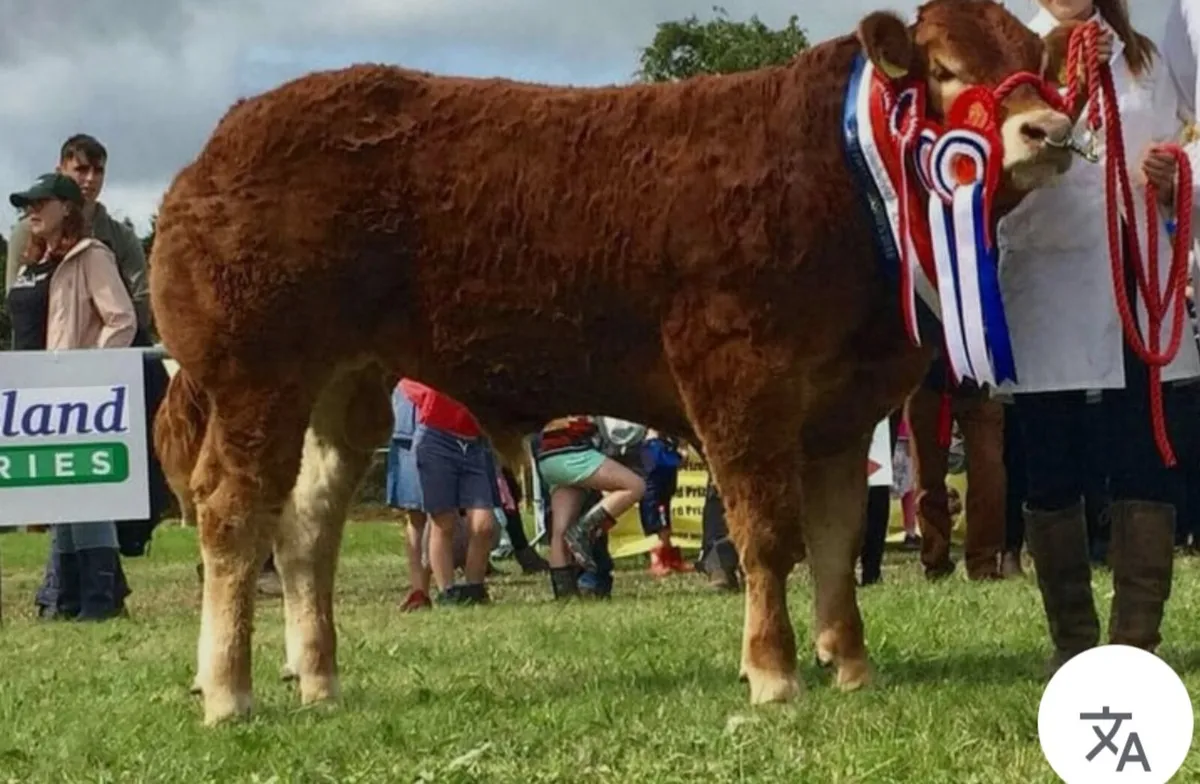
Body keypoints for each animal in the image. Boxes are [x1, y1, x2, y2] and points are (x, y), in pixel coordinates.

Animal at [150, 0, 1082, 726]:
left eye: (1032, 64)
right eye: (947, 69)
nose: (1050, 129)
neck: (838, 177)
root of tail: (225, 140)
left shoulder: (844, 410)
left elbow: (836, 536)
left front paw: (849, 663)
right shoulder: (738, 378)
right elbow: (767, 534)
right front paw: (773, 672)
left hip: (344, 387)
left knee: (306, 526)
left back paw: (318, 678)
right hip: (259, 373)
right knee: (233, 514)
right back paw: (227, 690)